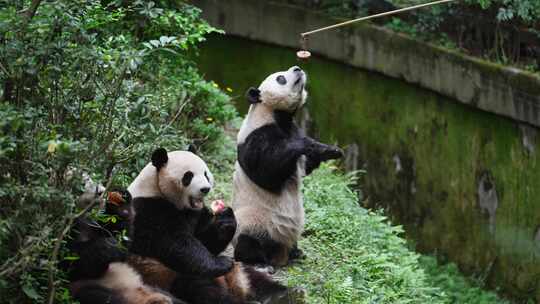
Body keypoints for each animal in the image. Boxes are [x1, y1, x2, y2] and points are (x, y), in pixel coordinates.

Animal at [128, 148, 284, 304]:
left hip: (241, 272)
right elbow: (177, 244)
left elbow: (207, 241)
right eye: (188, 176)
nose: (205, 189)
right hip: (164, 275)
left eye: (205, 174)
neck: (156, 189)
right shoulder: (149, 211)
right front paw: (222, 262)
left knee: (257, 280)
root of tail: (237, 288)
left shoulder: (196, 213)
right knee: (198, 286)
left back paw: (279, 294)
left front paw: (225, 219)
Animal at [233, 66, 344, 266]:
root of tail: (279, 255)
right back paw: (258, 260)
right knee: (247, 238)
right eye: (281, 78)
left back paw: (296, 252)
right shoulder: (255, 137)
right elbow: (265, 172)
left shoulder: (292, 128)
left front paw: (330, 151)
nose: (297, 68)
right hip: (256, 220)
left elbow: (306, 166)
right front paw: (307, 144)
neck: (275, 115)